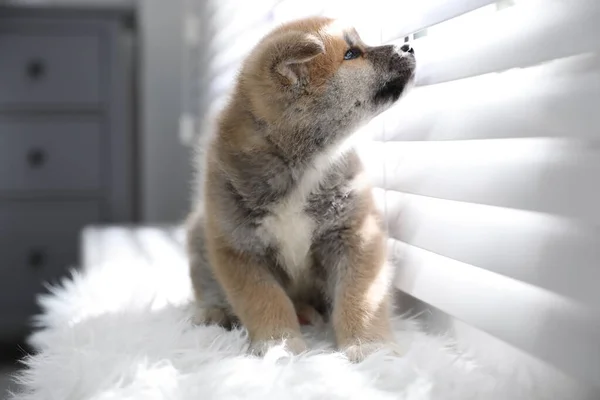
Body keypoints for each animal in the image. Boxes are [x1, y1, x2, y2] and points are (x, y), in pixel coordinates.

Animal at [186, 15, 412, 360]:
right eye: (351, 54)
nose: (408, 45)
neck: (303, 166)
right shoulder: (239, 249)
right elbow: (266, 300)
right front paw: (278, 344)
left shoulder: (355, 235)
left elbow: (359, 297)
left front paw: (370, 346)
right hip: (200, 237)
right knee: (207, 287)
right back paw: (215, 313)